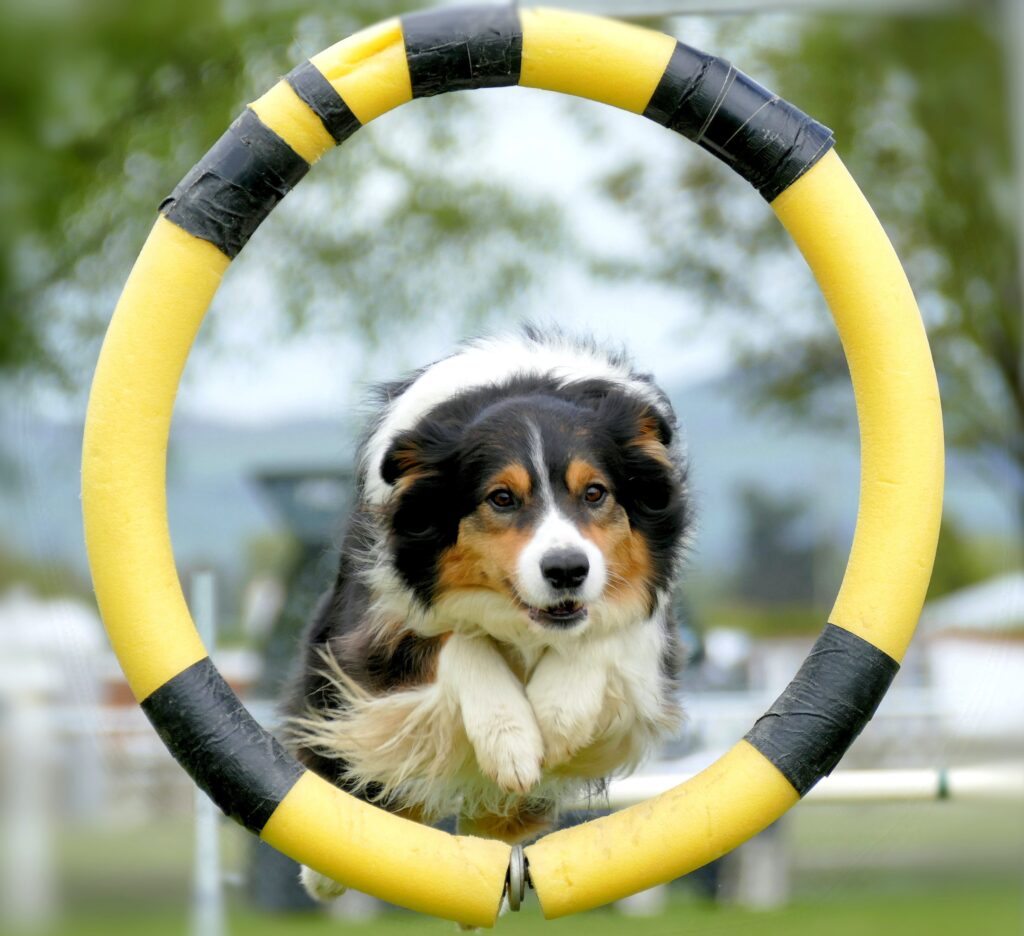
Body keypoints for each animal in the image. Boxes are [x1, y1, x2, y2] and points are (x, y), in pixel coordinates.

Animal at [284, 325, 692, 897]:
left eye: (595, 493)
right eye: (501, 498)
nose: (567, 570)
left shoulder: (649, 631)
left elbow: (607, 631)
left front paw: (555, 717)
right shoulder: (377, 625)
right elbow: (460, 641)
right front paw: (512, 741)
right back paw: (325, 870)